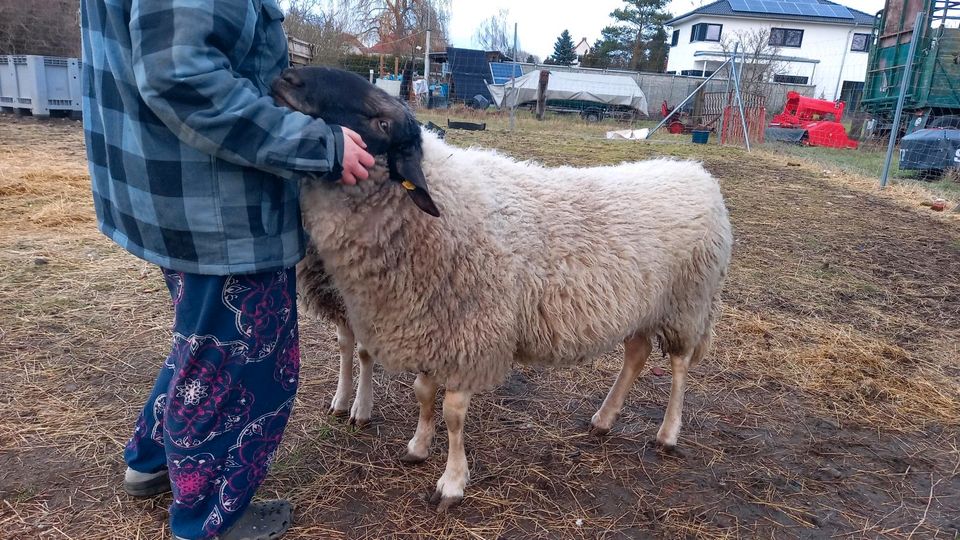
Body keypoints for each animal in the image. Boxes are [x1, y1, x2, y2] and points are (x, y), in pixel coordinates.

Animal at [272, 67, 736, 510]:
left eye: (381, 122)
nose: (287, 79)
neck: (438, 211)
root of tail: (697, 173)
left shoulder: (472, 333)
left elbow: (452, 412)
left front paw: (451, 482)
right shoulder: (430, 324)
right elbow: (423, 393)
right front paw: (418, 447)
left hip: (687, 302)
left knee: (679, 367)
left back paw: (668, 433)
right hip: (645, 306)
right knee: (637, 354)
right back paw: (603, 419)